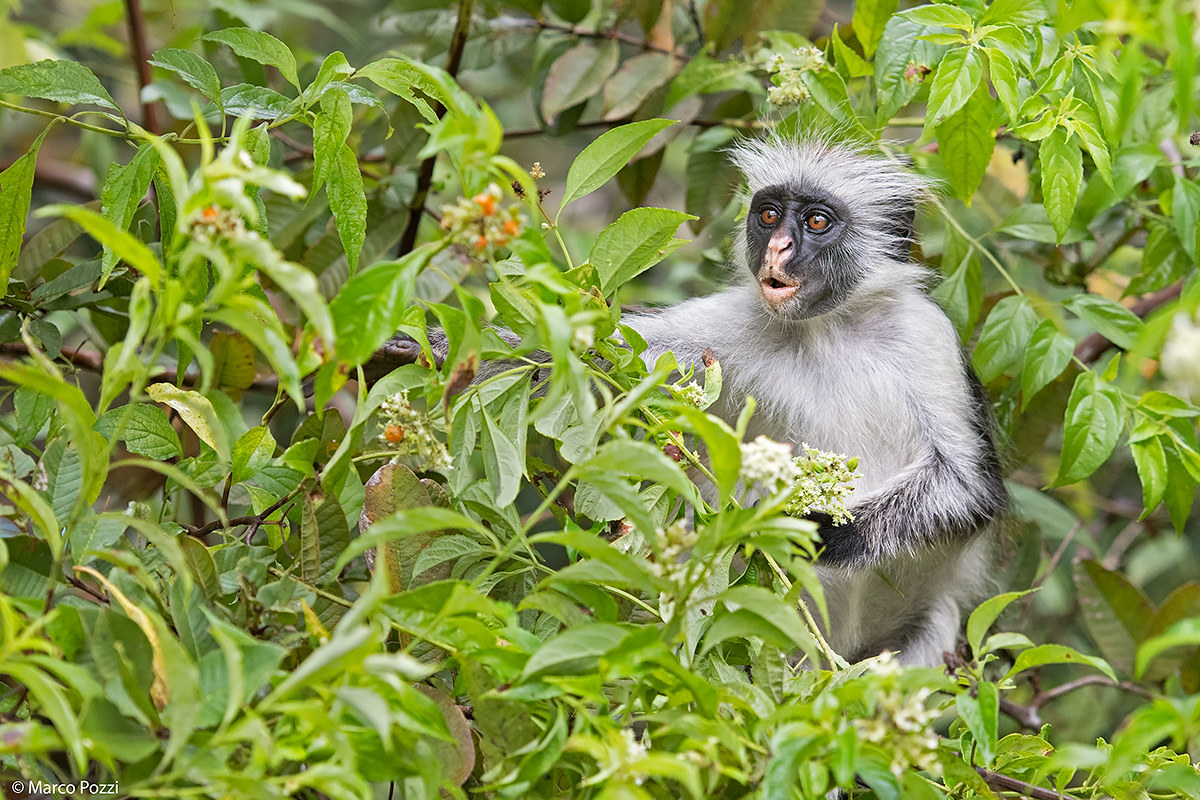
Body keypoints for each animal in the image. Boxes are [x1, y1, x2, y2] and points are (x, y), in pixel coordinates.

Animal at [372, 135, 1009, 667]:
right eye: (769, 215)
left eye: (817, 220)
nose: (777, 247)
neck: (828, 328)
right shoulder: (734, 323)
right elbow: (590, 358)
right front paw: (426, 348)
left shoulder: (925, 336)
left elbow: (967, 487)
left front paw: (814, 533)